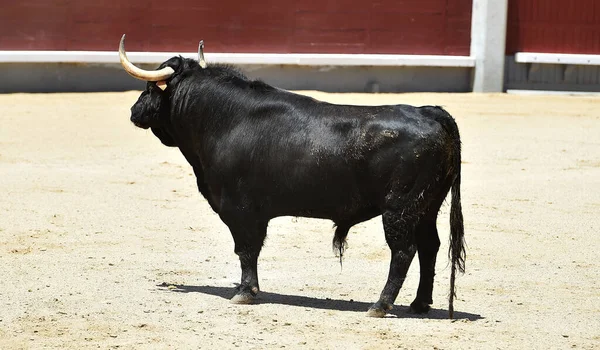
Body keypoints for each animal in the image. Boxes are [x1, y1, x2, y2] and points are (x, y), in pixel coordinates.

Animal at [126, 54, 466, 318]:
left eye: (149, 88)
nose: (133, 111)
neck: (223, 119)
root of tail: (430, 112)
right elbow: (250, 250)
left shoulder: (240, 209)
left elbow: (246, 249)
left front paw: (245, 292)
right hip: (426, 207)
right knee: (430, 246)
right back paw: (419, 304)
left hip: (400, 209)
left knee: (404, 251)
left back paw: (380, 305)